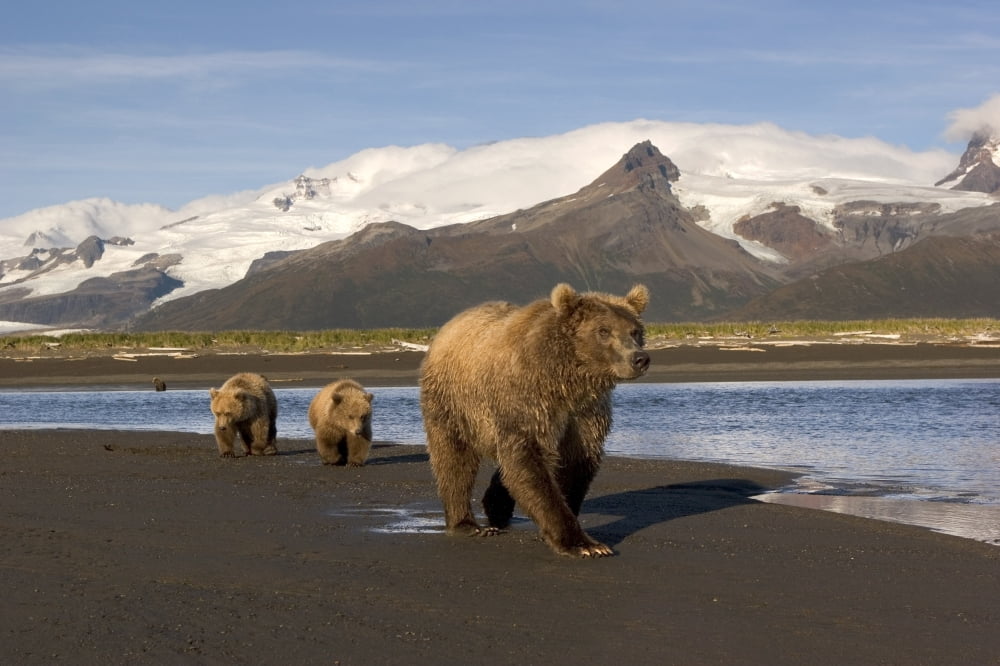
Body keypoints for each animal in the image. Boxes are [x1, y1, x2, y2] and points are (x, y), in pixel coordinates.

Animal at [420, 283, 650, 558]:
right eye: (603, 331)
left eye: (635, 331)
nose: (640, 358)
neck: (568, 380)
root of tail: (450, 324)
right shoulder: (530, 402)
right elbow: (531, 462)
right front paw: (585, 545)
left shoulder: (584, 414)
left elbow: (575, 463)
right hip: (453, 402)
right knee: (454, 459)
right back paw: (467, 524)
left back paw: (496, 505)